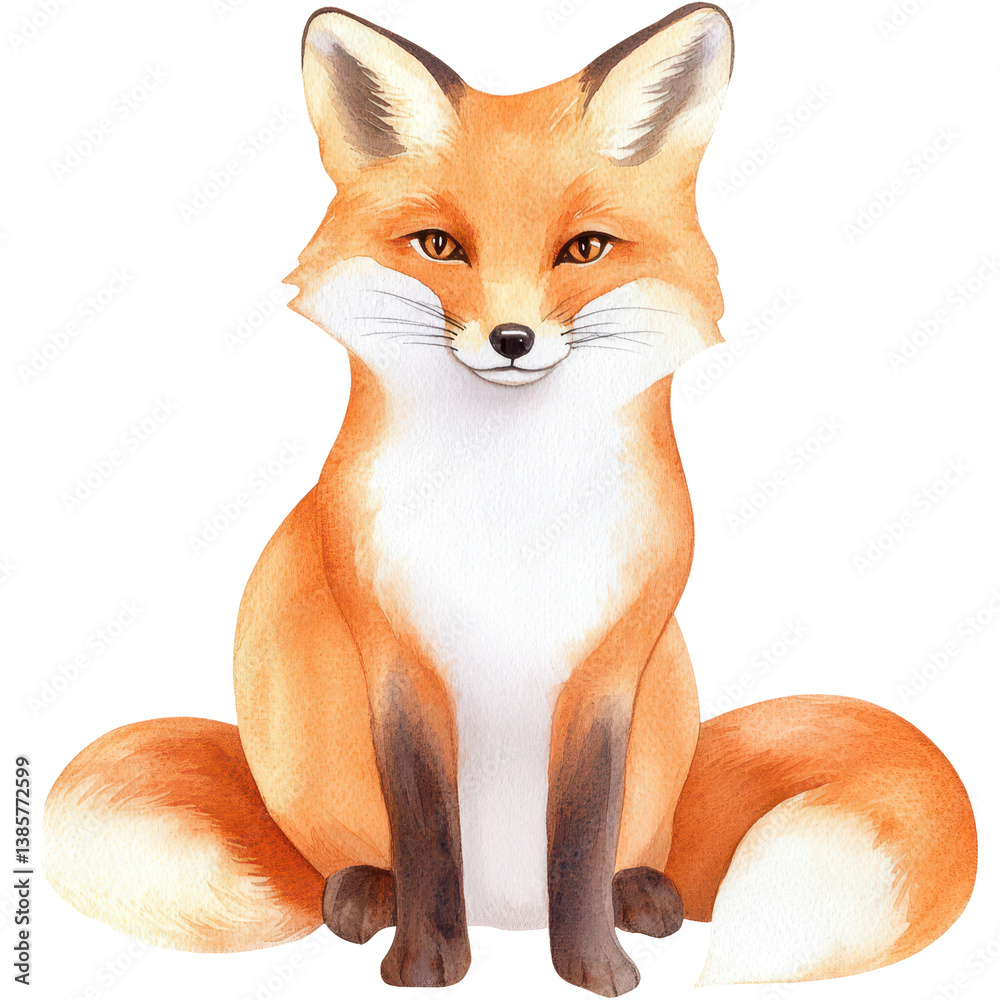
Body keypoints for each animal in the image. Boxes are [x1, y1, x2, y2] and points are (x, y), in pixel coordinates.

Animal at [43, 5, 977, 996]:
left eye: (584, 249)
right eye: (440, 246)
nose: (512, 339)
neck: (511, 511)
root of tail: (507, 913)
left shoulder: (609, 669)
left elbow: (581, 835)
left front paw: (596, 968)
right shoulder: (398, 662)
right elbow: (426, 830)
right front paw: (426, 963)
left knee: (634, 857)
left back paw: (641, 895)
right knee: (349, 869)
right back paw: (364, 894)